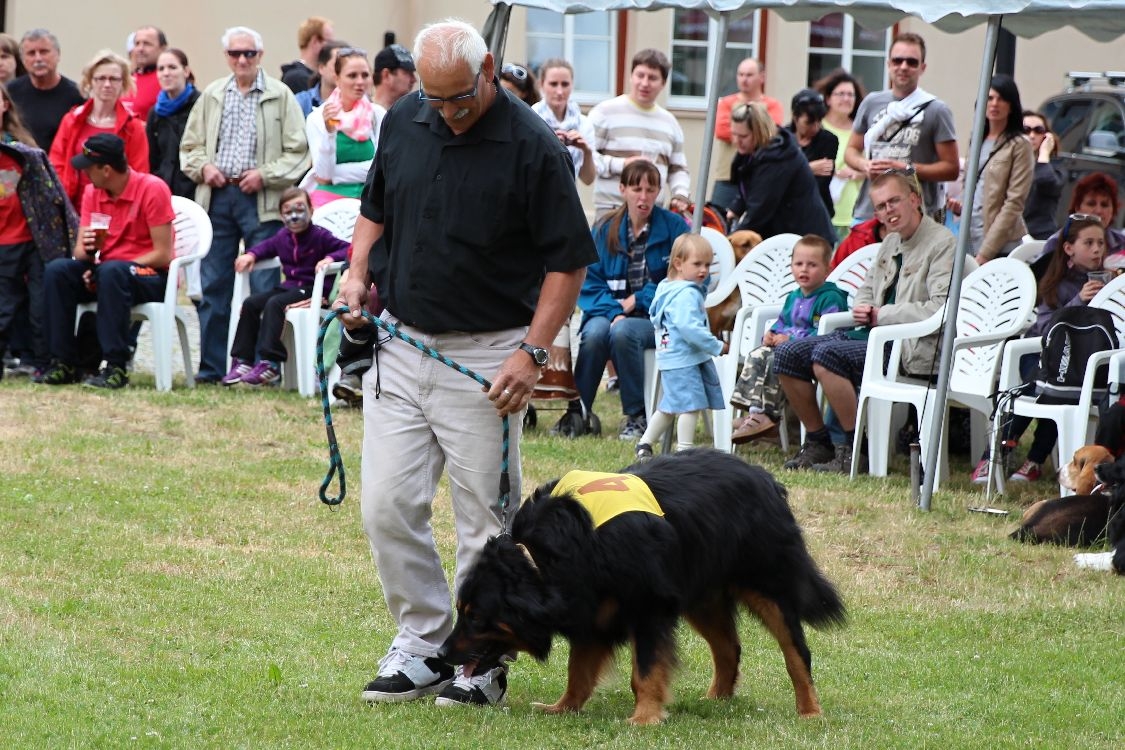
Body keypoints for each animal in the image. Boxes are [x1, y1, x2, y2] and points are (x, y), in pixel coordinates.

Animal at [438, 449, 846, 724]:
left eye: (477, 617)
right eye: (462, 611)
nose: (441, 653)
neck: (541, 558)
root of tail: (764, 476)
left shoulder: (648, 608)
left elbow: (646, 670)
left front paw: (646, 717)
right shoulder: (590, 612)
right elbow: (578, 671)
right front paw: (563, 707)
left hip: (767, 587)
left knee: (796, 652)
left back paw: (810, 710)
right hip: (701, 597)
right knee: (729, 647)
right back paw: (717, 699)